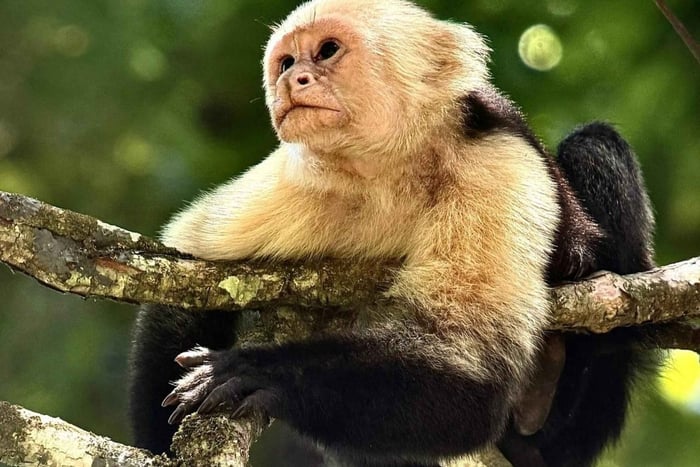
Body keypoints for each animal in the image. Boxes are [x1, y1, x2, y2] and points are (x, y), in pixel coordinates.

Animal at [128, 1, 656, 465]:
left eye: (327, 51)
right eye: (286, 61)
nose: (292, 79)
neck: (388, 172)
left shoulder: (492, 161)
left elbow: (469, 372)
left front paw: (257, 372)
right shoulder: (298, 179)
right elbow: (188, 272)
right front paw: (163, 446)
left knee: (593, 146)